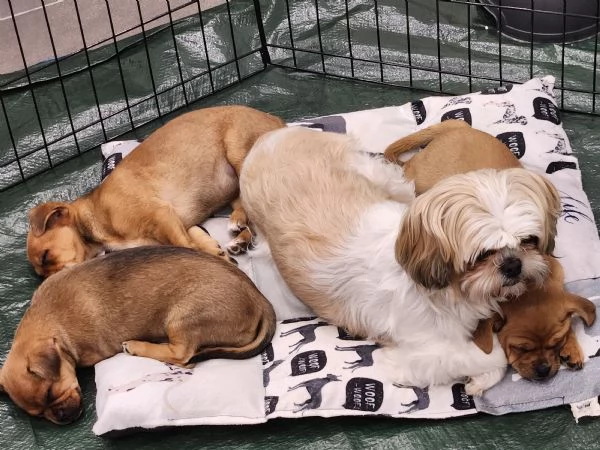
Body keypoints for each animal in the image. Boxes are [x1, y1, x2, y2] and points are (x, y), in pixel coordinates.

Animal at [0, 246, 276, 424]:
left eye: (50, 393)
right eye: (38, 415)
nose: (63, 418)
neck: (52, 322)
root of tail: (260, 300)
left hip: (180, 318)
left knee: (182, 356)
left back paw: (136, 345)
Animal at [26, 105, 285, 277]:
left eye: (46, 256)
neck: (96, 220)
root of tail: (277, 120)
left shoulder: (161, 216)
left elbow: (186, 247)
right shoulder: (181, 225)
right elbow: (195, 240)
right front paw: (215, 251)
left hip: (239, 154)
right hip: (235, 190)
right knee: (248, 214)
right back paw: (239, 234)